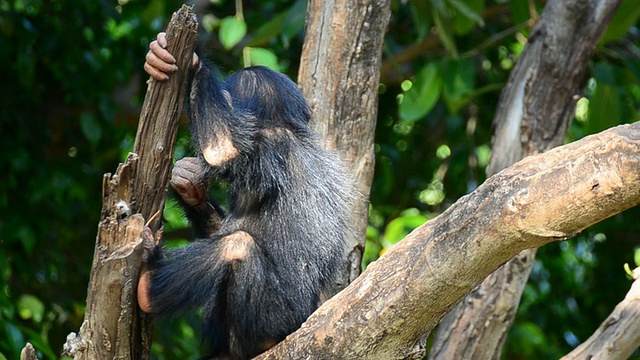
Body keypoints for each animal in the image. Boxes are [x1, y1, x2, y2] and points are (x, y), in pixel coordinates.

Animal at [136, 32, 356, 358]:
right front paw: (188, 183)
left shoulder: (268, 149)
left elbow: (221, 148)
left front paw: (193, 63)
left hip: (270, 322)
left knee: (237, 246)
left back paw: (148, 288)